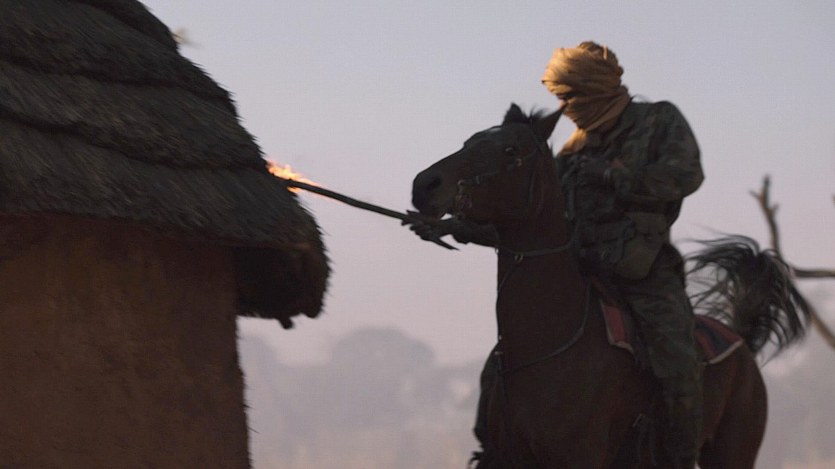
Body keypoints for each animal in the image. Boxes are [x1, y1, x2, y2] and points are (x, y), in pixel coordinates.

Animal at [411, 104, 809, 468]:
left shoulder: (580, 457)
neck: (547, 343)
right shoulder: (505, 458)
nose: (424, 185)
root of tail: (741, 340)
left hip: (731, 452)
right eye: (469, 141)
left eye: (510, 150)